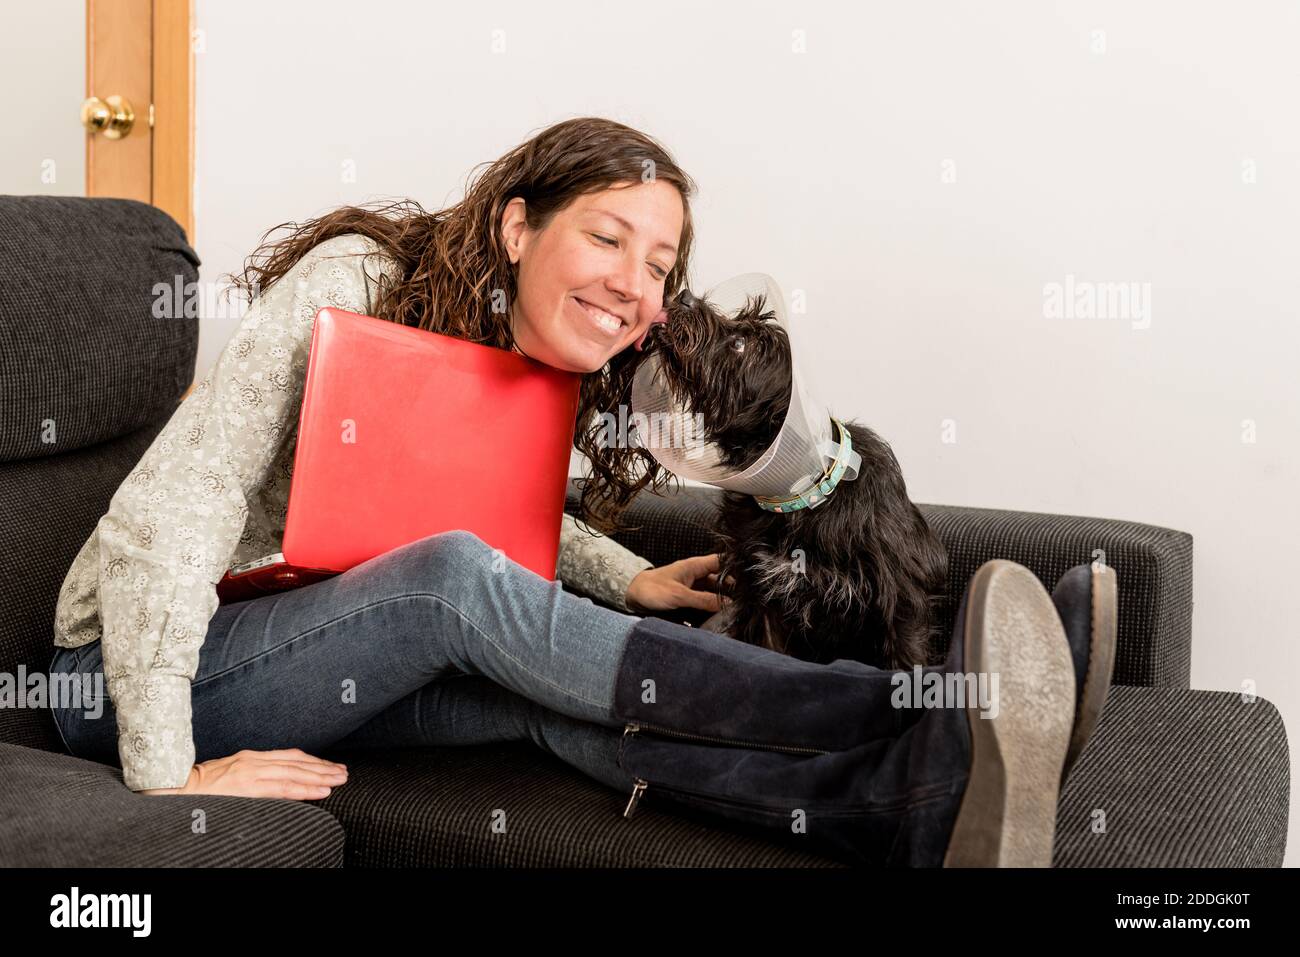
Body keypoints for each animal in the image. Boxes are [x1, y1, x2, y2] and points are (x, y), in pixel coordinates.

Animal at [634, 287, 951, 670]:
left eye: (741, 344)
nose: (684, 295)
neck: (805, 495)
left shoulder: (902, 604)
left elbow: (905, 660)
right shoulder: (761, 598)